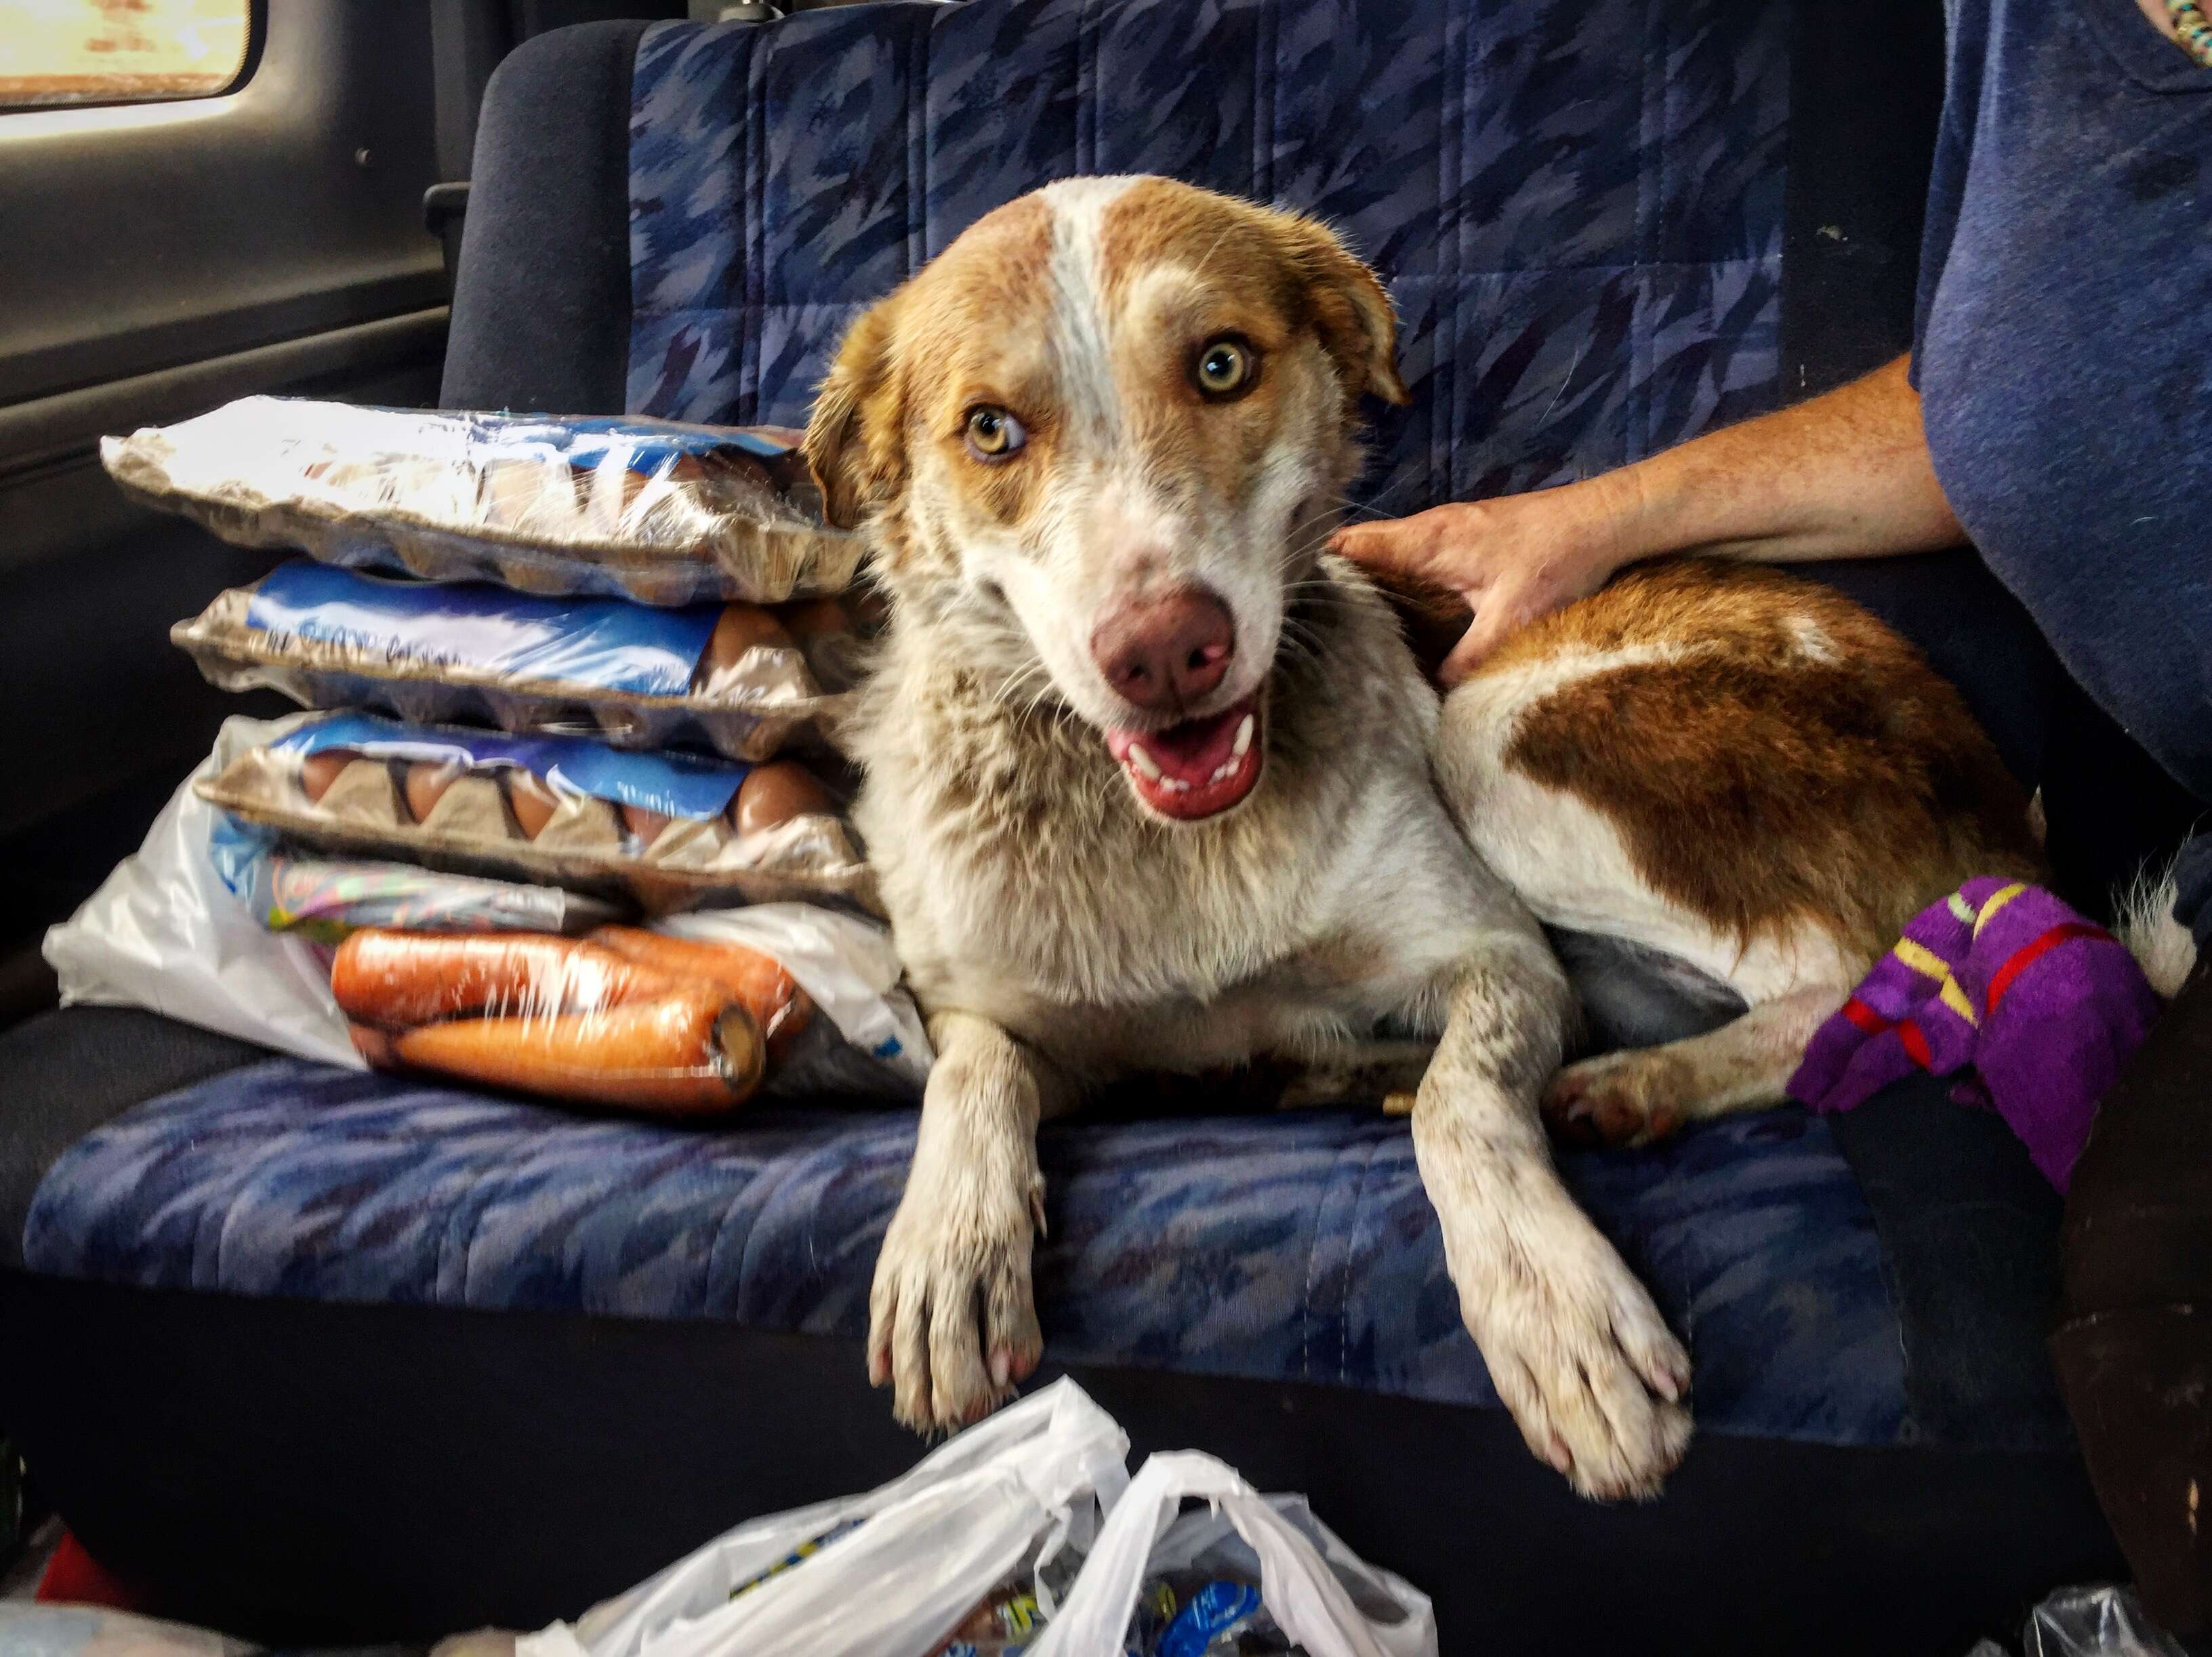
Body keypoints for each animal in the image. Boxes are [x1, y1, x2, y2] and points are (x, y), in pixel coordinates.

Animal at [805, 174, 2043, 1495]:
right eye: (989, 431)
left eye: (1222, 364)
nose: (1164, 650)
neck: (1170, 845)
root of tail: (1983, 776)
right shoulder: (997, 1012)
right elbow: (972, 1073)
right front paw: (946, 1250)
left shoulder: (1503, 958)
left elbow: (1465, 1106)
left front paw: (1555, 1310)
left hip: (1499, 735)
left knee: (1861, 978)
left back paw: (1635, 1082)